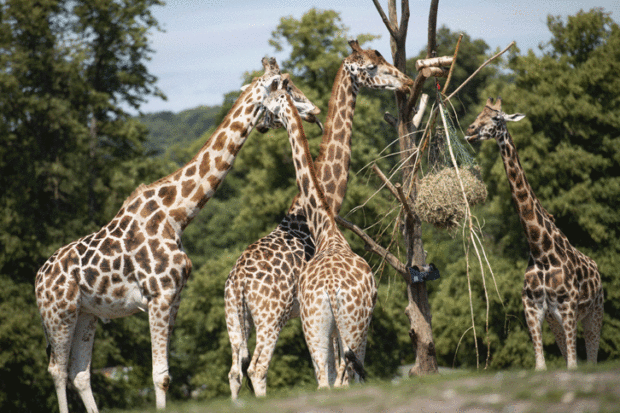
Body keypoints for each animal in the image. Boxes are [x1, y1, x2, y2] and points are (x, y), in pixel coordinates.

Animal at [32, 55, 320, 412]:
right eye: (287, 85)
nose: (314, 110)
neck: (177, 215)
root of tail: (37, 279)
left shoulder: (175, 296)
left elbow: (166, 373)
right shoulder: (158, 296)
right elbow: (160, 375)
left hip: (87, 314)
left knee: (80, 373)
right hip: (59, 313)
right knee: (57, 370)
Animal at [223, 39, 412, 400]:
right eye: (372, 67)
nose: (407, 82)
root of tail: (238, 281)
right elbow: (339, 366)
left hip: (235, 318)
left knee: (235, 372)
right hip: (272, 316)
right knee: (258, 368)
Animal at [468, 97, 604, 370]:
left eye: (496, 118)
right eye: (478, 114)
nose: (471, 130)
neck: (540, 251)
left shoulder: (568, 308)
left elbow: (573, 364)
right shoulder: (533, 309)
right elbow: (541, 365)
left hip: (594, 313)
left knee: (592, 358)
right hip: (556, 321)